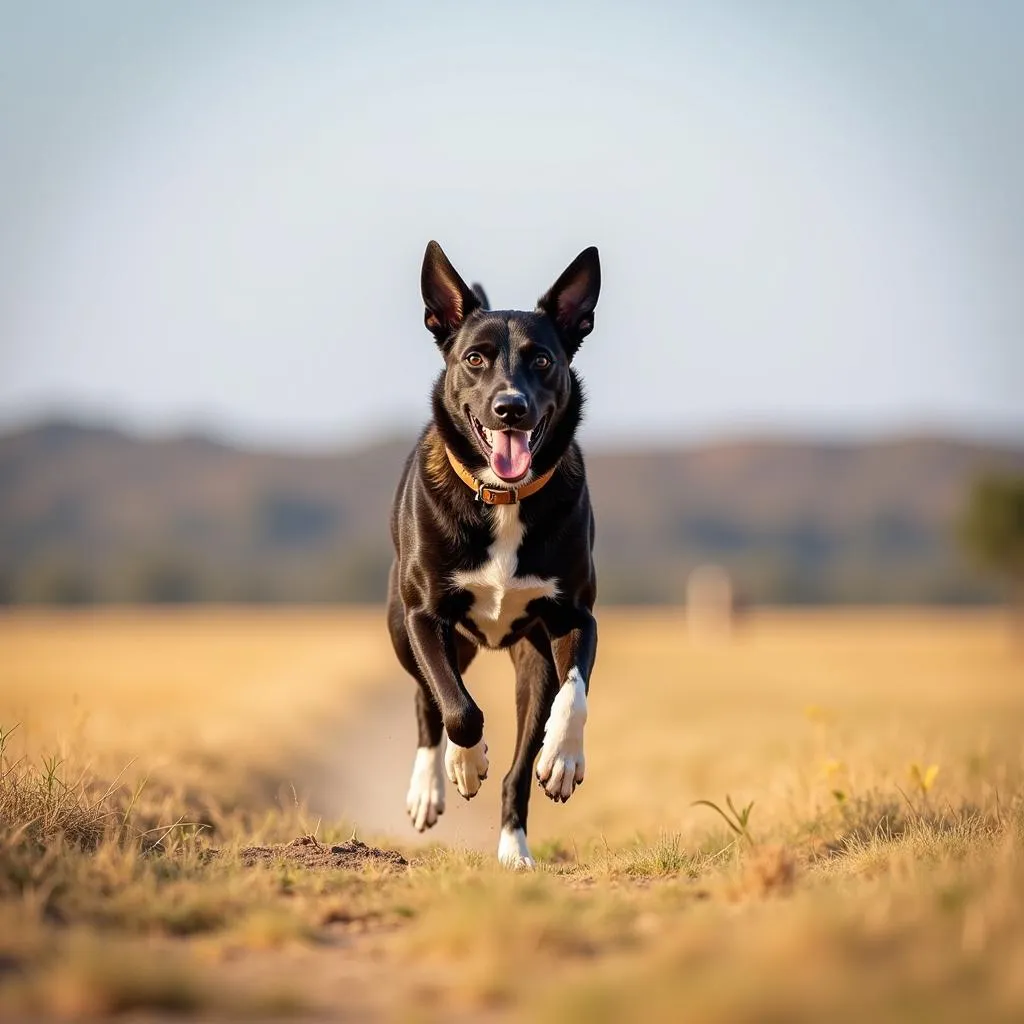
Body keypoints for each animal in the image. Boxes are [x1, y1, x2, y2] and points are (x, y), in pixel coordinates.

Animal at [387, 241, 602, 872]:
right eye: (476, 359)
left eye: (544, 360)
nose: (511, 407)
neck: (504, 496)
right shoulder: (424, 616)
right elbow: (458, 708)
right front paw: (466, 761)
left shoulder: (575, 616)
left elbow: (574, 693)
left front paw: (563, 759)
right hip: (402, 630)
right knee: (428, 700)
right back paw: (431, 784)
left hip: (530, 659)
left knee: (520, 762)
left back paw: (514, 848)